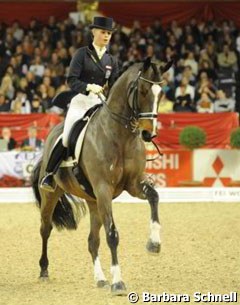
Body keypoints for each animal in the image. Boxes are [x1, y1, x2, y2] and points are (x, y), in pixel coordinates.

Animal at [31, 57, 172, 294]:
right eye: (143, 90)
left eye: (161, 93)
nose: (148, 133)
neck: (120, 136)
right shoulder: (104, 189)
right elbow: (112, 234)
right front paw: (118, 282)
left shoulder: (133, 184)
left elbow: (154, 196)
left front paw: (154, 243)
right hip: (52, 195)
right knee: (45, 229)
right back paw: (43, 270)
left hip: (93, 201)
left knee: (92, 241)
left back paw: (100, 278)